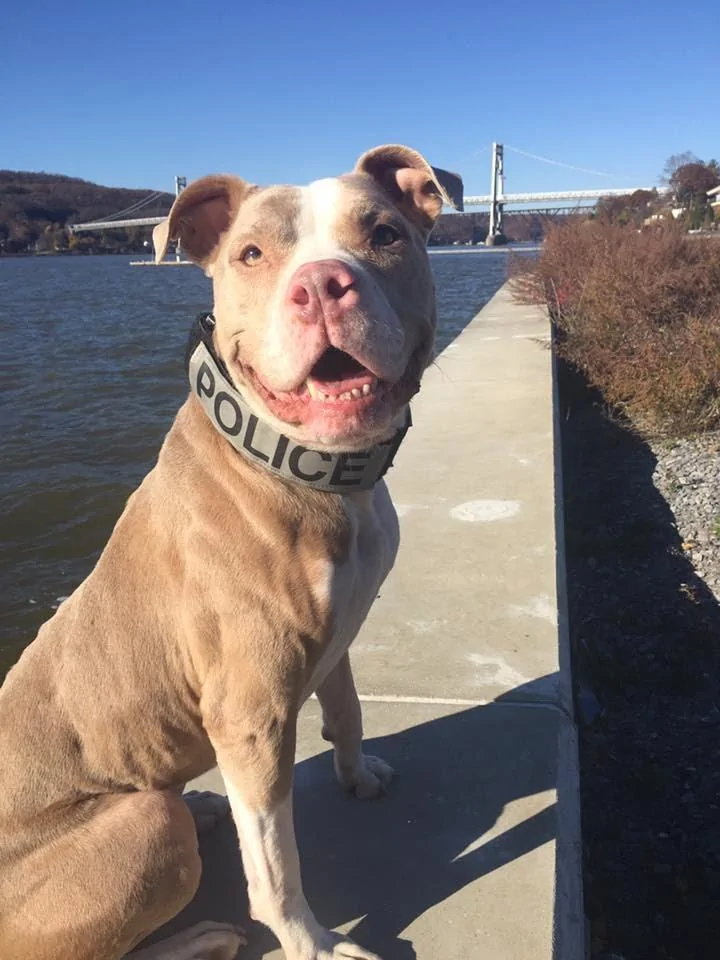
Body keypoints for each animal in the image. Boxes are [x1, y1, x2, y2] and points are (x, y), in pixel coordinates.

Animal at [0, 144, 462, 960]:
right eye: (252, 254)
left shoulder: (339, 630)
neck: (305, 468)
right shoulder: (252, 717)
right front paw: (314, 944)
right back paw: (200, 933)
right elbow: (275, 865)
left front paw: (359, 776)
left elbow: (346, 707)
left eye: (384, 235)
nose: (322, 285)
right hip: (143, 825)